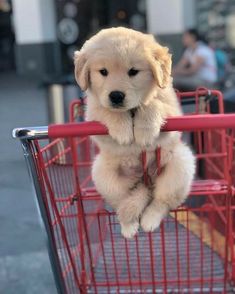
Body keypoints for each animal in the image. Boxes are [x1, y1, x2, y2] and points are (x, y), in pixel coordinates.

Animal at [74, 27, 196, 239]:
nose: (116, 96)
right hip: (103, 174)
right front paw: (123, 130)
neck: (131, 111)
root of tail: (144, 181)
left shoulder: (173, 111)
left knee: (161, 201)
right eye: (103, 72)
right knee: (123, 203)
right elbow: (107, 111)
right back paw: (128, 226)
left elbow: (152, 104)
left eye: (133, 72)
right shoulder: (93, 114)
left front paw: (145, 131)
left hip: (180, 164)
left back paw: (149, 220)